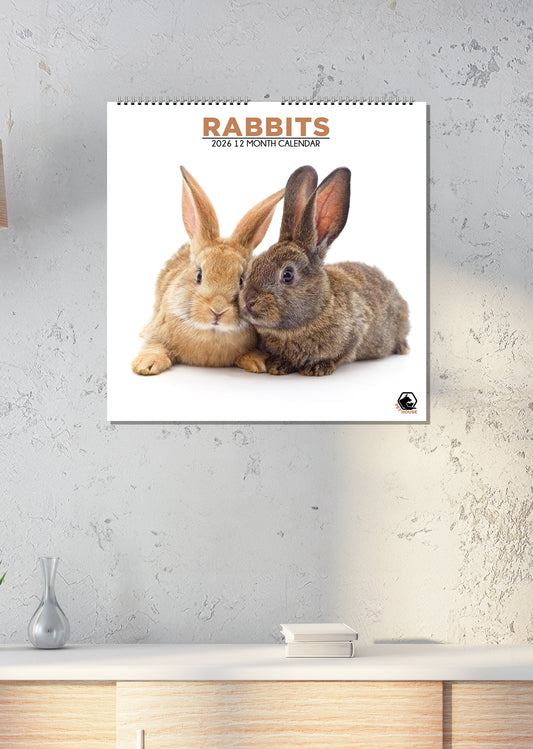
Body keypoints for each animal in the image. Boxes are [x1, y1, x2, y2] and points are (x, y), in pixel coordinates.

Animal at [131, 167, 284, 375]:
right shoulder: (157, 330)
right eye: (199, 275)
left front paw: (257, 361)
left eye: (242, 280)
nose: (218, 310)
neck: (213, 332)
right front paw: (146, 364)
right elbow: (155, 345)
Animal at [239, 165, 410, 376]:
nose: (248, 302)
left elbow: (341, 354)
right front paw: (278, 365)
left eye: (287, 275)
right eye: (251, 268)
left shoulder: (355, 331)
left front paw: (317, 368)